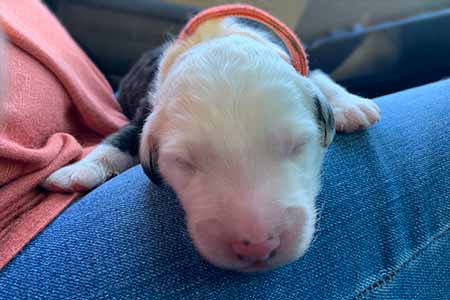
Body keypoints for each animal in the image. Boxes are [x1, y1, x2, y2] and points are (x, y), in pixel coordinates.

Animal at [42, 17, 380, 274]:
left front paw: (350, 104)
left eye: (297, 145)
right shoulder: (145, 113)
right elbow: (119, 139)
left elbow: (319, 77)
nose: (257, 245)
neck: (215, 38)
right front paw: (79, 169)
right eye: (184, 162)